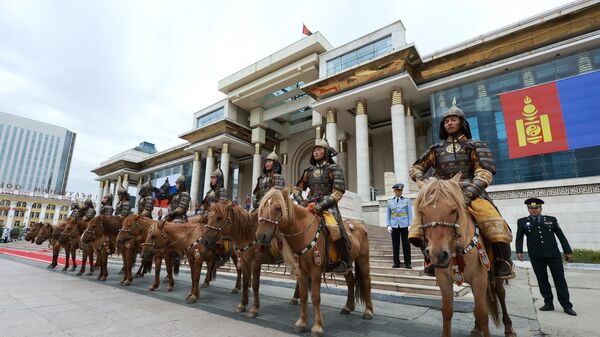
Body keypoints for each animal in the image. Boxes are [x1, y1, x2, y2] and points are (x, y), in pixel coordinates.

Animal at [254, 189, 376, 336]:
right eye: (262, 207)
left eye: (278, 208)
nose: (260, 236)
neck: (304, 233)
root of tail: (360, 226)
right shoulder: (301, 272)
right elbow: (304, 295)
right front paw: (301, 323)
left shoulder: (315, 271)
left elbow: (316, 297)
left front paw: (317, 327)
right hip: (346, 265)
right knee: (351, 281)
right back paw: (347, 307)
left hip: (363, 259)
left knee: (366, 281)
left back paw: (368, 311)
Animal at [412, 175, 516, 336]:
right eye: (422, 211)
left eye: (454, 210)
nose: (438, 255)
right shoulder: (444, 279)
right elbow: (447, 311)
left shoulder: (479, 278)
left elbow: (482, 314)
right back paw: (476, 328)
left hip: (495, 276)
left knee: (500, 293)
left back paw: (509, 328)